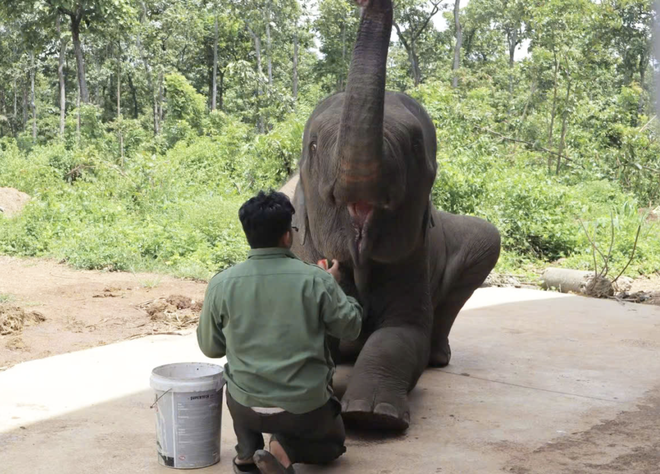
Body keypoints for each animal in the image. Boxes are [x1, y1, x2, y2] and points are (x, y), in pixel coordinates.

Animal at [285, 0, 501, 431]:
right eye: (313, 146)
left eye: (416, 146)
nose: (369, 3)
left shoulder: (412, 256)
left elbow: (401, 336)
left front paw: (372, 417)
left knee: (484, 243)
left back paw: (437, 358)